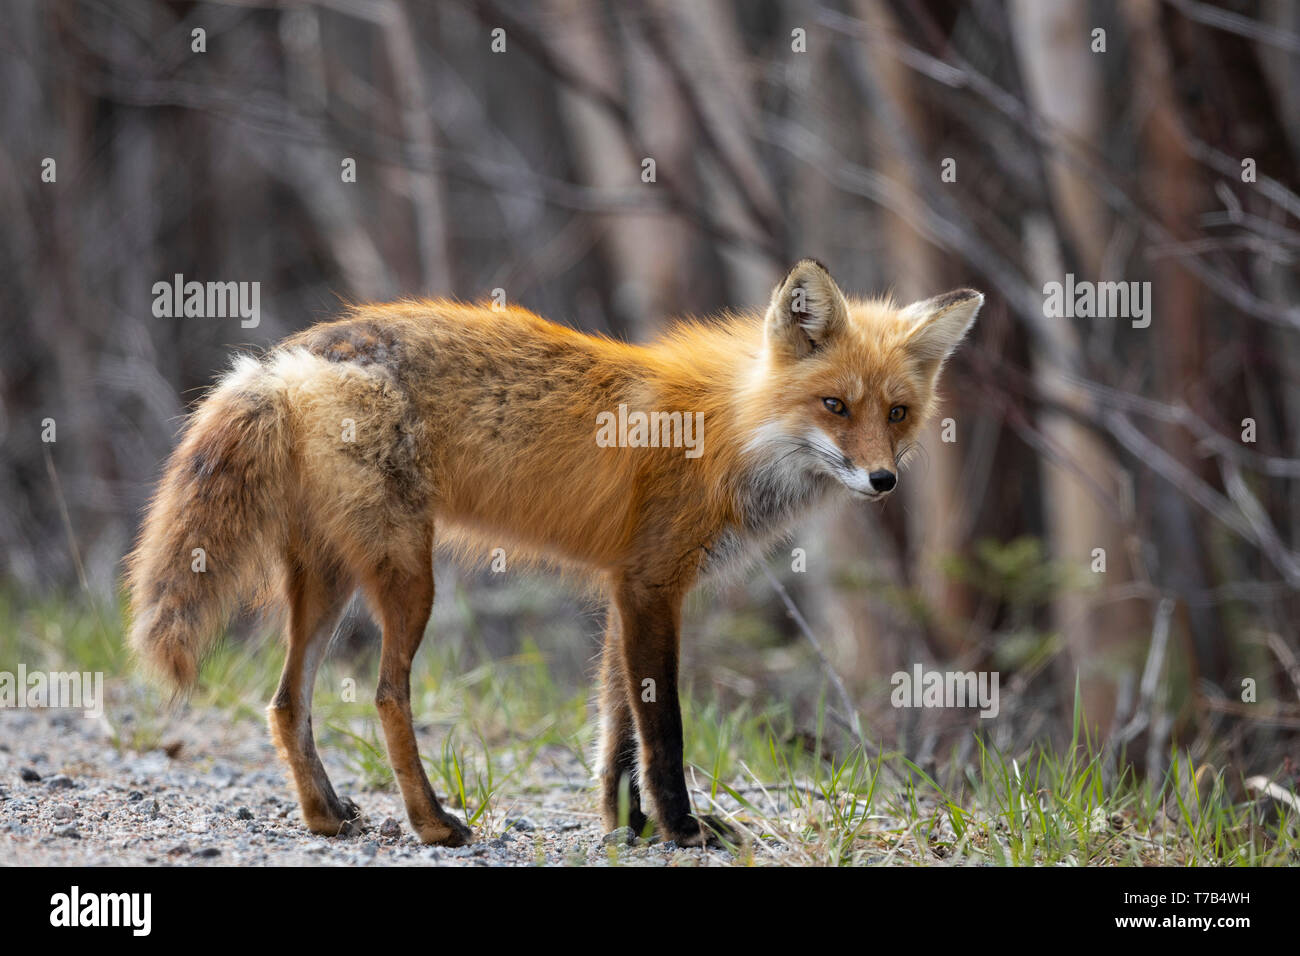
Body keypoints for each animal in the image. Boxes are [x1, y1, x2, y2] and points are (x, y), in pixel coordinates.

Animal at [125, 259, 982, 848]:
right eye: (834, 405)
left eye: (898, 413)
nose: (883, 480)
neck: (731, 430)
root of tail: (288, 356)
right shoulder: (652, 586)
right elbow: (663, 729)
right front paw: (681, 830)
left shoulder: (625, 589)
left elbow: (617, 731)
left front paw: (626, 827)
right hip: (408, 574)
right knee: (386, 694)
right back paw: (433, 823)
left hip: (329, 576)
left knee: (286, 702)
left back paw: (325, 815)